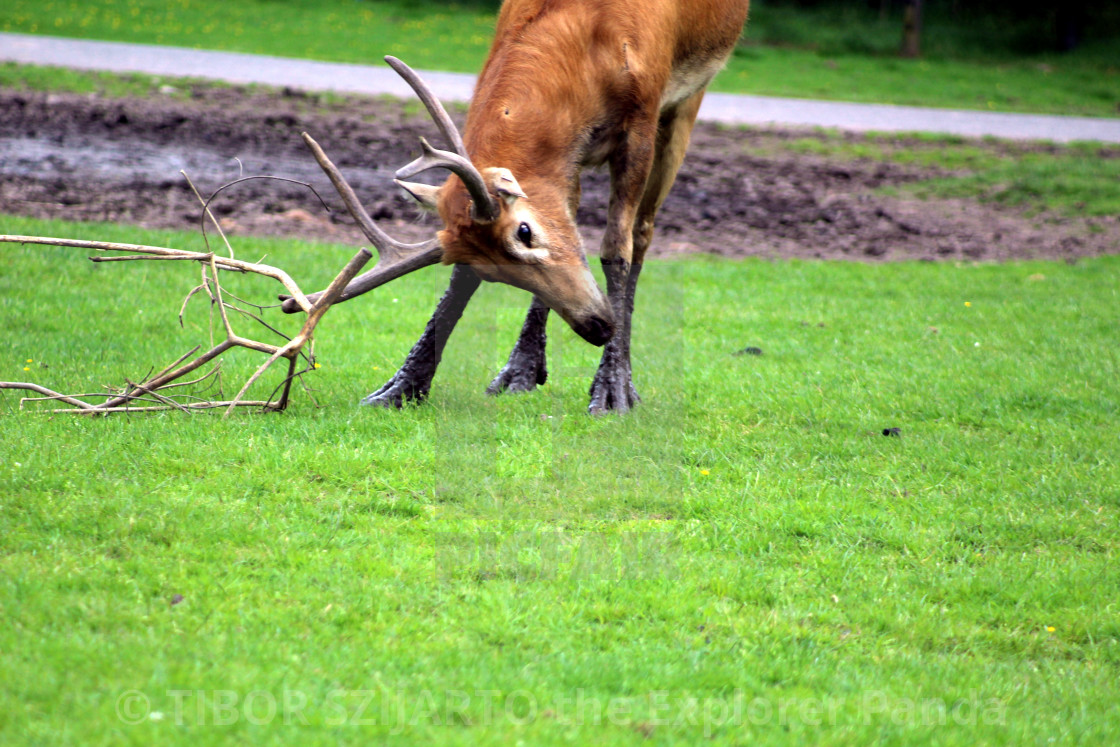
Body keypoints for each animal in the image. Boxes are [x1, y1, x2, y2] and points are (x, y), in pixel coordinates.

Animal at [282, 0, 752, 414]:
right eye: (491, 272)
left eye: (524, 231)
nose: (598, 326)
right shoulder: (562, 162)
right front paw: (403, 386)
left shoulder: (644, 117)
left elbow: (616, 249)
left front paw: (611, 390)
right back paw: (521, 370)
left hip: (687, 102)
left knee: (644, 232)